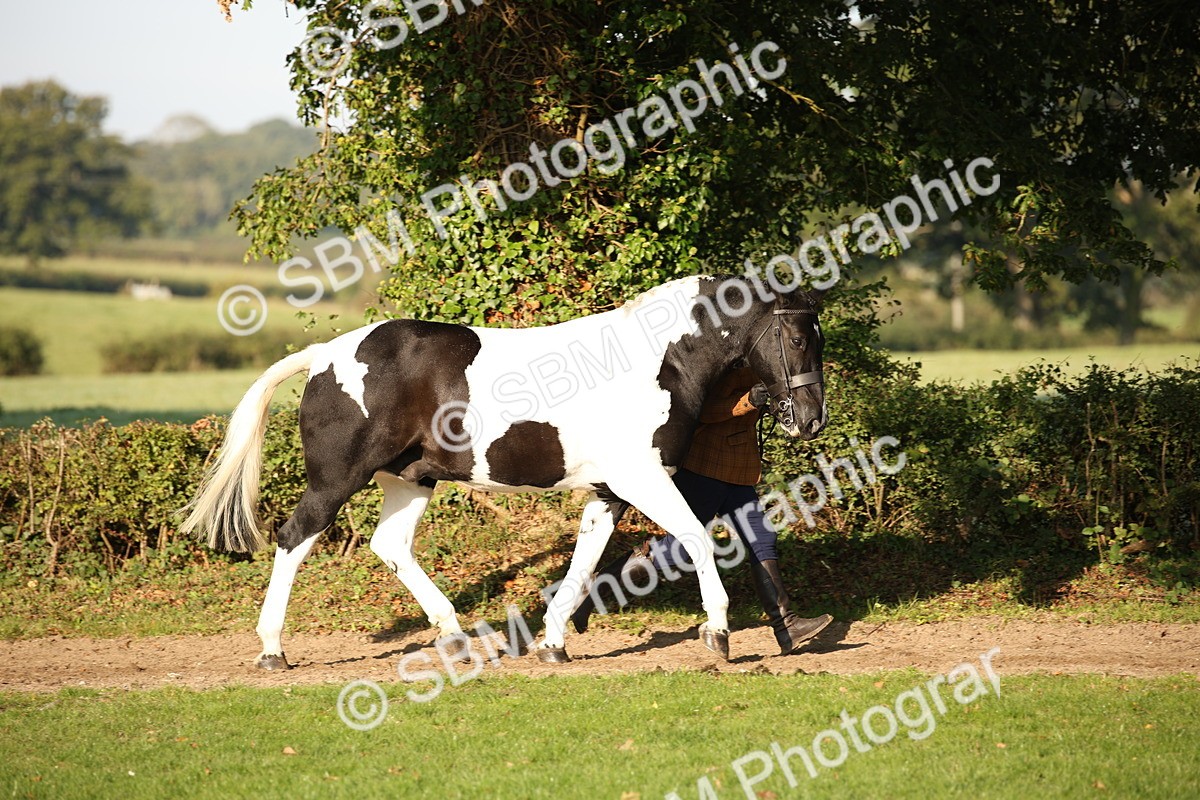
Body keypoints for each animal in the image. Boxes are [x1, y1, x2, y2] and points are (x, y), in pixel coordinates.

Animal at [181, 274, 827, 668]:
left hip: (411, 480)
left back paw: (456, 637)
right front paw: (717, 632)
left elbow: (584, 564)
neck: (656, 361)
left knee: (389, 545)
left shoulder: (609, 491)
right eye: (798, 337)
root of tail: (324, 356)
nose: (811, 419)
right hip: (337, 480)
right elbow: (696, 536)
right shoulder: (641, 479)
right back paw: (273, 650)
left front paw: (553, 644)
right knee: (294, 538)